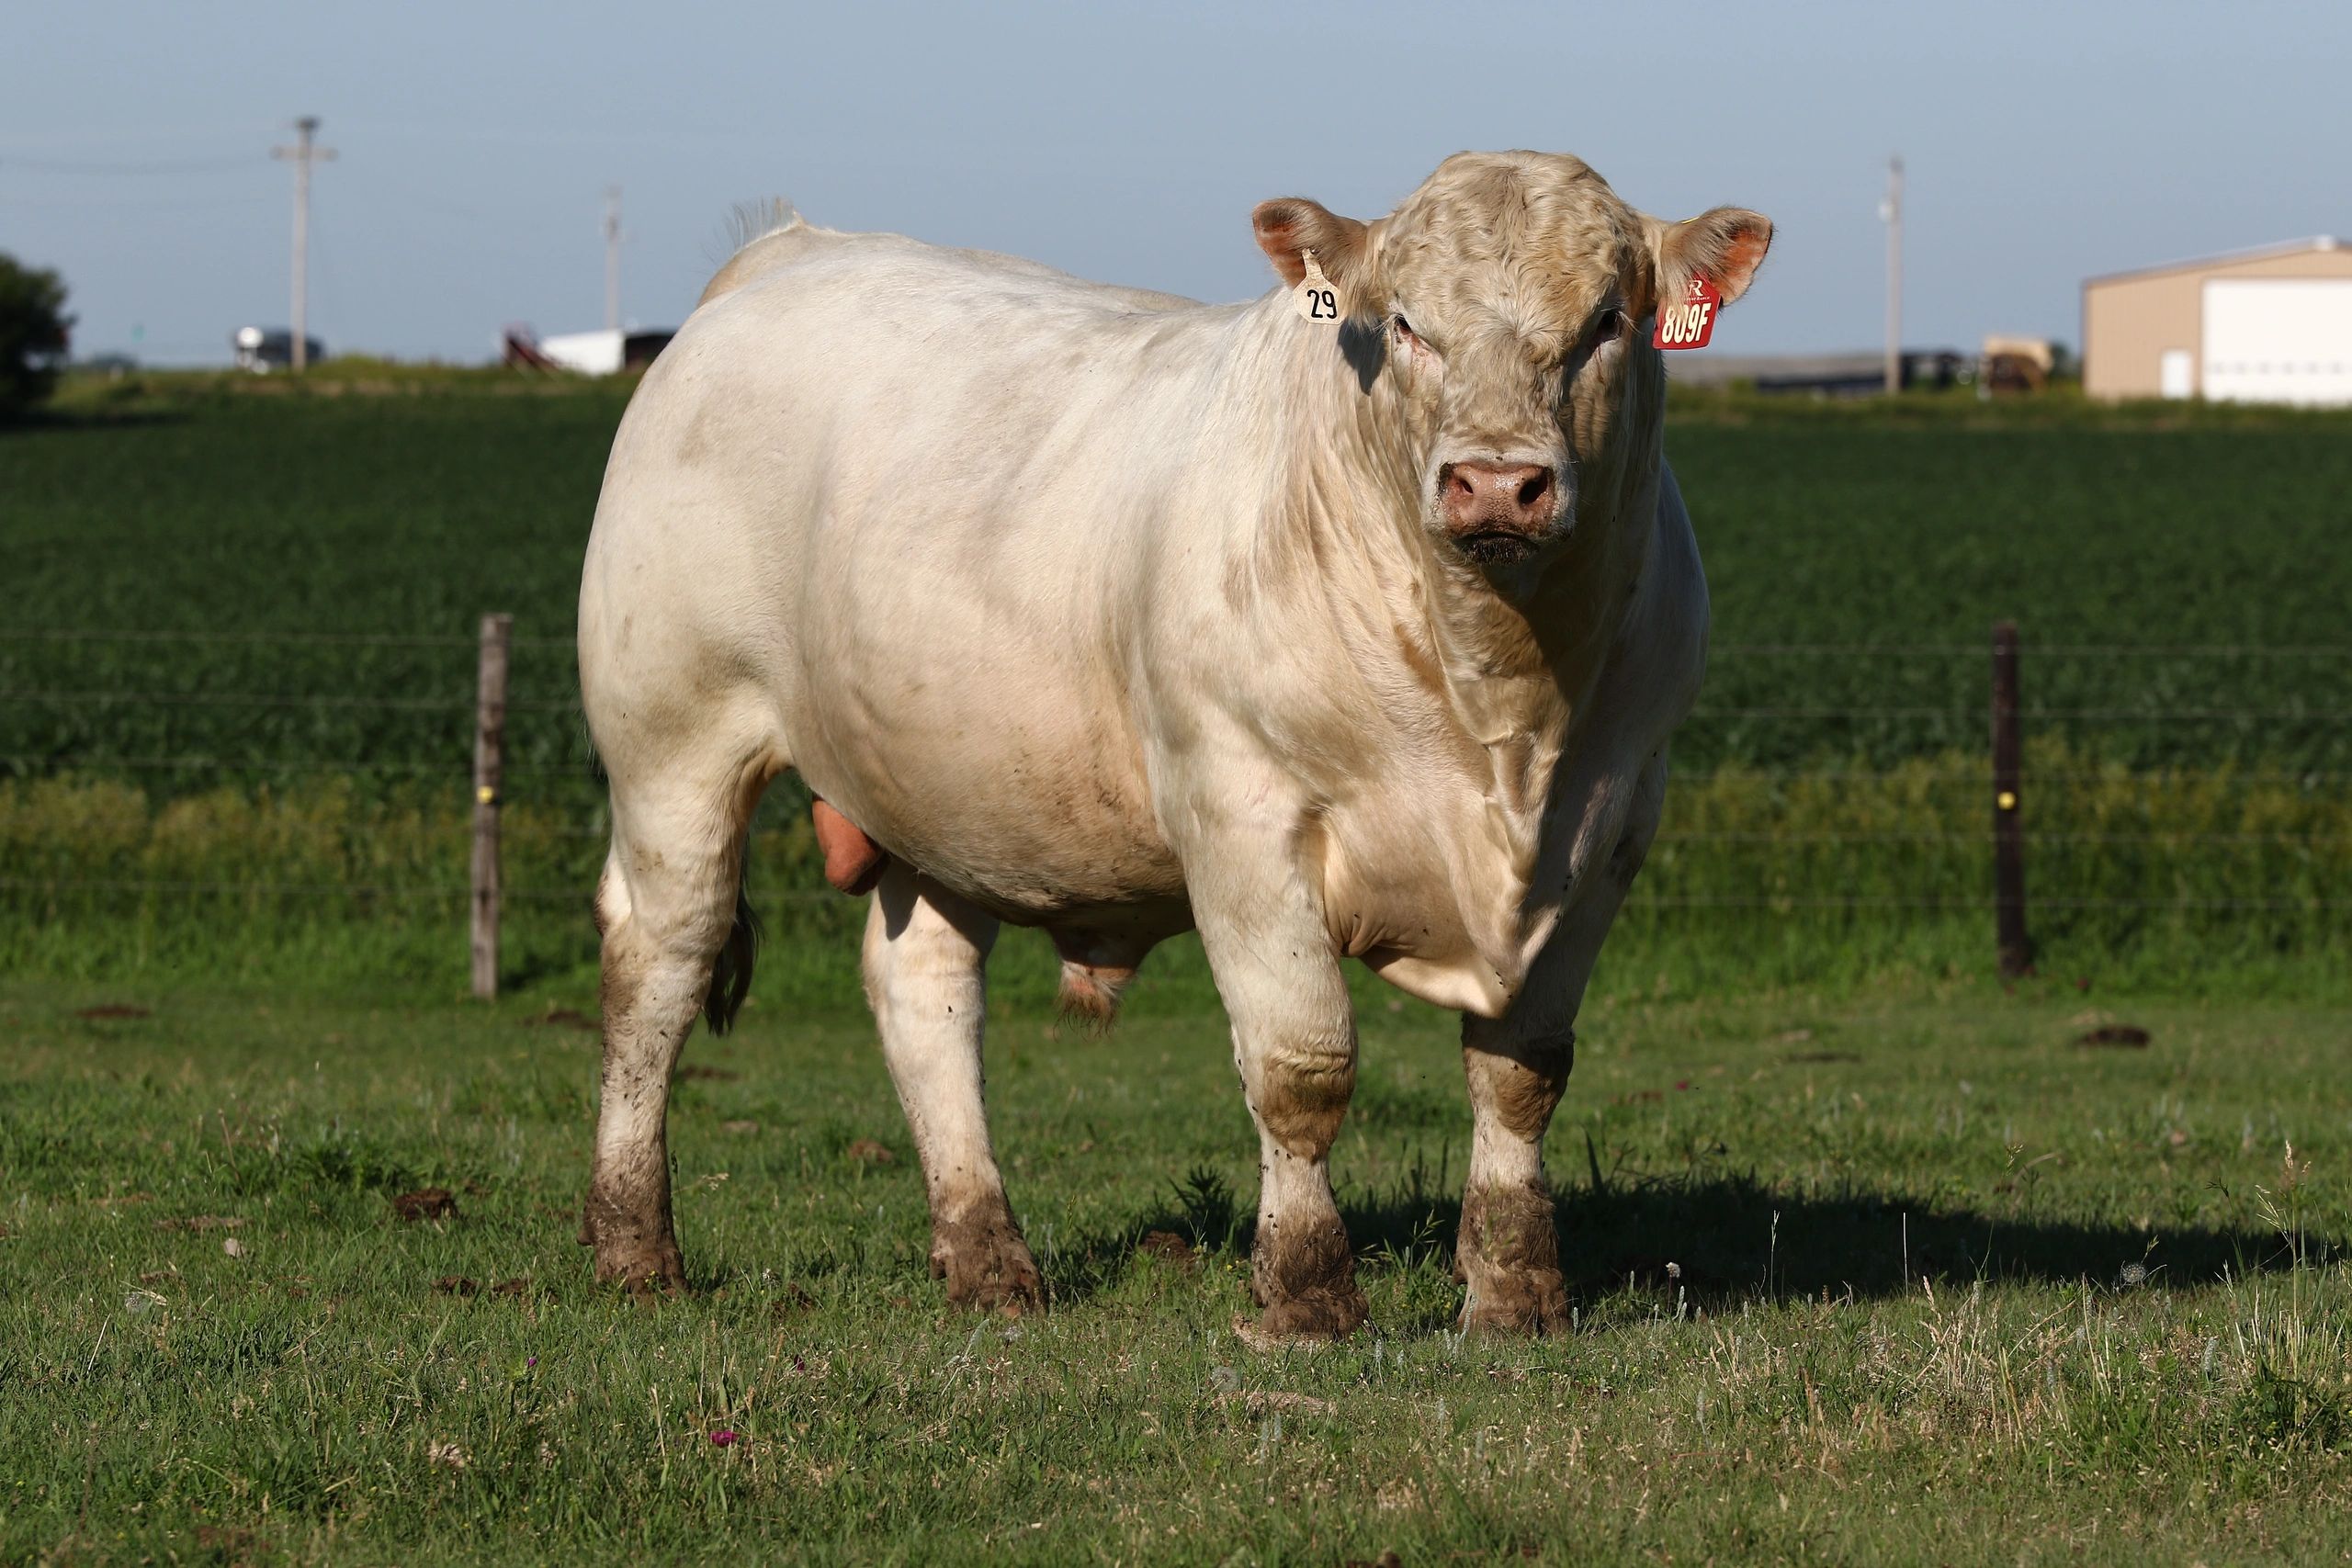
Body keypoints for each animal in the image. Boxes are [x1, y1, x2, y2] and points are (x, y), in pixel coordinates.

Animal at [575, 151, 1770, 1342]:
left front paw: (1517, 1294)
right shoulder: (1242, 814)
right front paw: (1303, 1293)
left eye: (1608, 322)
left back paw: (988, 1260)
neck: (1498, 709)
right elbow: (1301, 1067)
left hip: (943, 785)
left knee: (924, 993)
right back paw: (635, 1250)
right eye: (1403, 324)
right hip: (672, 742)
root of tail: (788, 250)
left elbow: (1523, 1072)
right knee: (659, 965)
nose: (1495, 482)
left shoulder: (1609, 824)